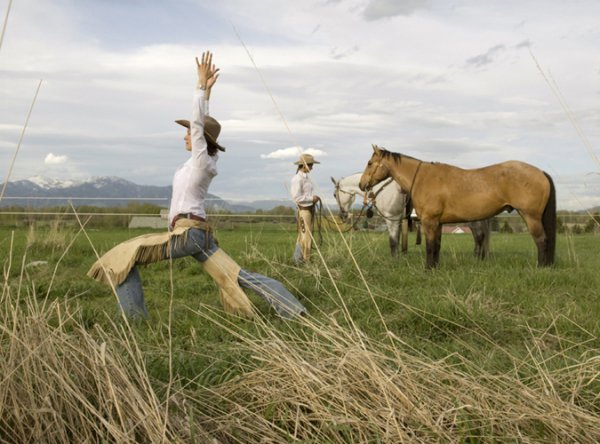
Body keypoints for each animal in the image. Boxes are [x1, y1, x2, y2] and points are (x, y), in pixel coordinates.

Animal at [332, 172, 492, 258]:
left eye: (334, 195)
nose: (342, 215)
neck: (382, 189)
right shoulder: (397, 220)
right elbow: (397, 241)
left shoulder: (392, 219)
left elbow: (393, 242)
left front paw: (394, 261)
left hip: (472, 220)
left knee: (479, 236)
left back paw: (476, 257)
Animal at [358, 146, 556, 268]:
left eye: (369, 163)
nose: (362, 184)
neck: (422, 178)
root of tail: (540, 172)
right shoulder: (437, 223)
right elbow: (436, 246)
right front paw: (434, 267)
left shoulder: (429, 221)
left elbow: (429, 246)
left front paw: (427, 269)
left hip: (530, 217)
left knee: (541, 240)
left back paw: (541, 267)